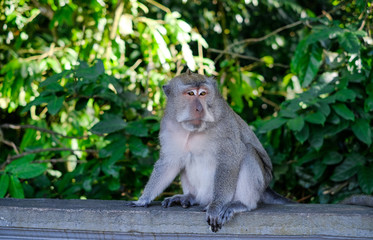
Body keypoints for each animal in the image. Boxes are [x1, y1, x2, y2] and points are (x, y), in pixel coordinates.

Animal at [129, 70, 292, 232]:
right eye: (190, 93)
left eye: (202, 93)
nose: (199, 109)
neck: (193, 130)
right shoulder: (169, 125)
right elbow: (169, 162)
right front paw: (143, 199)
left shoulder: (224, 124)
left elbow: (230, 158)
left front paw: (216, 206)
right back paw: (190, 197)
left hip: (259, 184)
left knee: (248, 152)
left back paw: (241, 204)